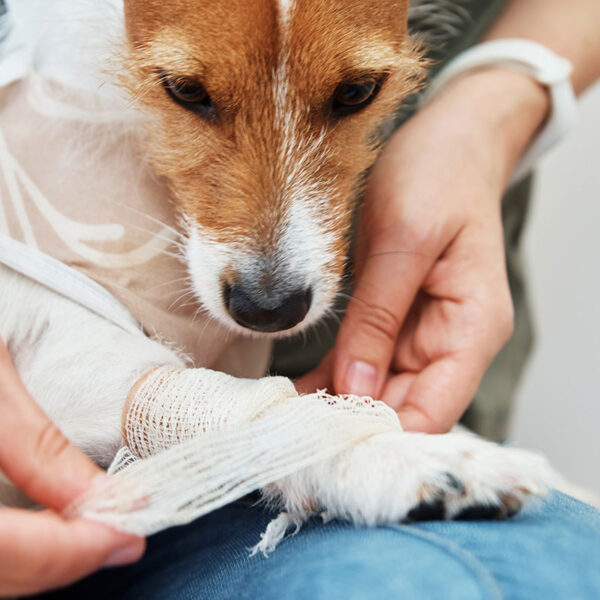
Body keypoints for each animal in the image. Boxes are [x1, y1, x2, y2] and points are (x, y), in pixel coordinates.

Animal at [0, 0, 552, 532]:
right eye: (185, 90)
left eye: (357, 92)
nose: (268, 311)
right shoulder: (64, 365)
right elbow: (272, 422)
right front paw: (397, 457)